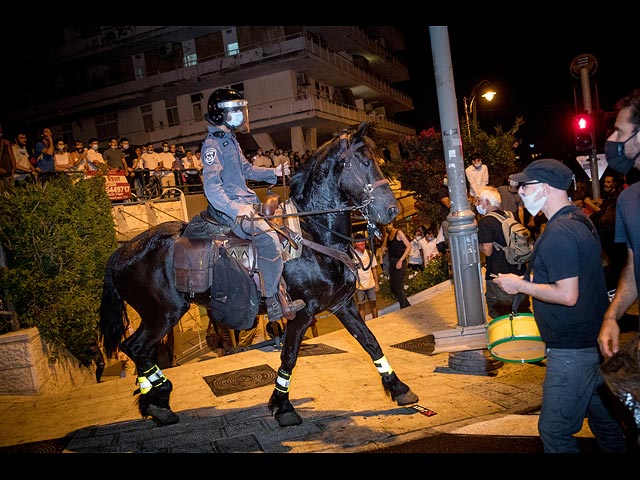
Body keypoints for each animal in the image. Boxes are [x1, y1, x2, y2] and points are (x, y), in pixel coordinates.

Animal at [99, 123, 420, 428]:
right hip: (164, 314)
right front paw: (284, 407)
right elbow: (289, 356)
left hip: (158, 315)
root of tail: (122, 251)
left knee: (138, 349)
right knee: (135, 347)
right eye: (366, 162)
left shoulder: (342, 305)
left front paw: (399, 388)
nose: (391, 209)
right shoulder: (302, 314)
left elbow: (370, 341)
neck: (313, 235)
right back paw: (158, 401)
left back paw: (156, 403)